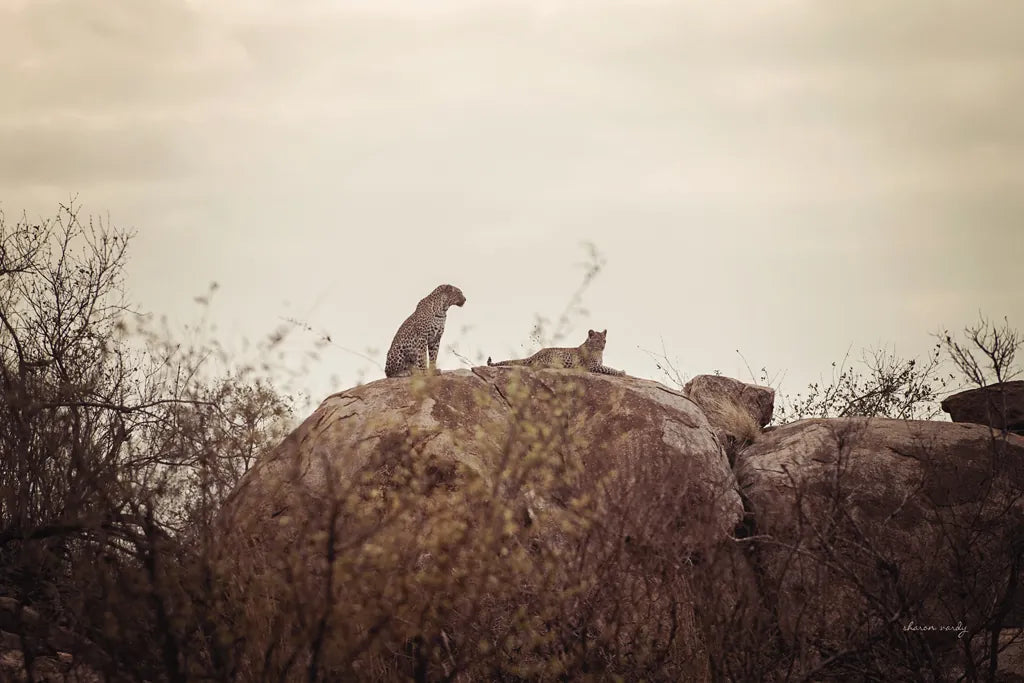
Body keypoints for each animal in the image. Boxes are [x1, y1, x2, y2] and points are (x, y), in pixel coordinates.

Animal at [487, 329, 625, 376]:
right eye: (597, 341)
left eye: (604, 341)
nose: (602, 347)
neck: (597, 352)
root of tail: (537, 352)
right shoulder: (593, 366)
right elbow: (609, 368)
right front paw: (621, 372)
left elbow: (608, 367)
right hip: (557, 355)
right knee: (539, 364)